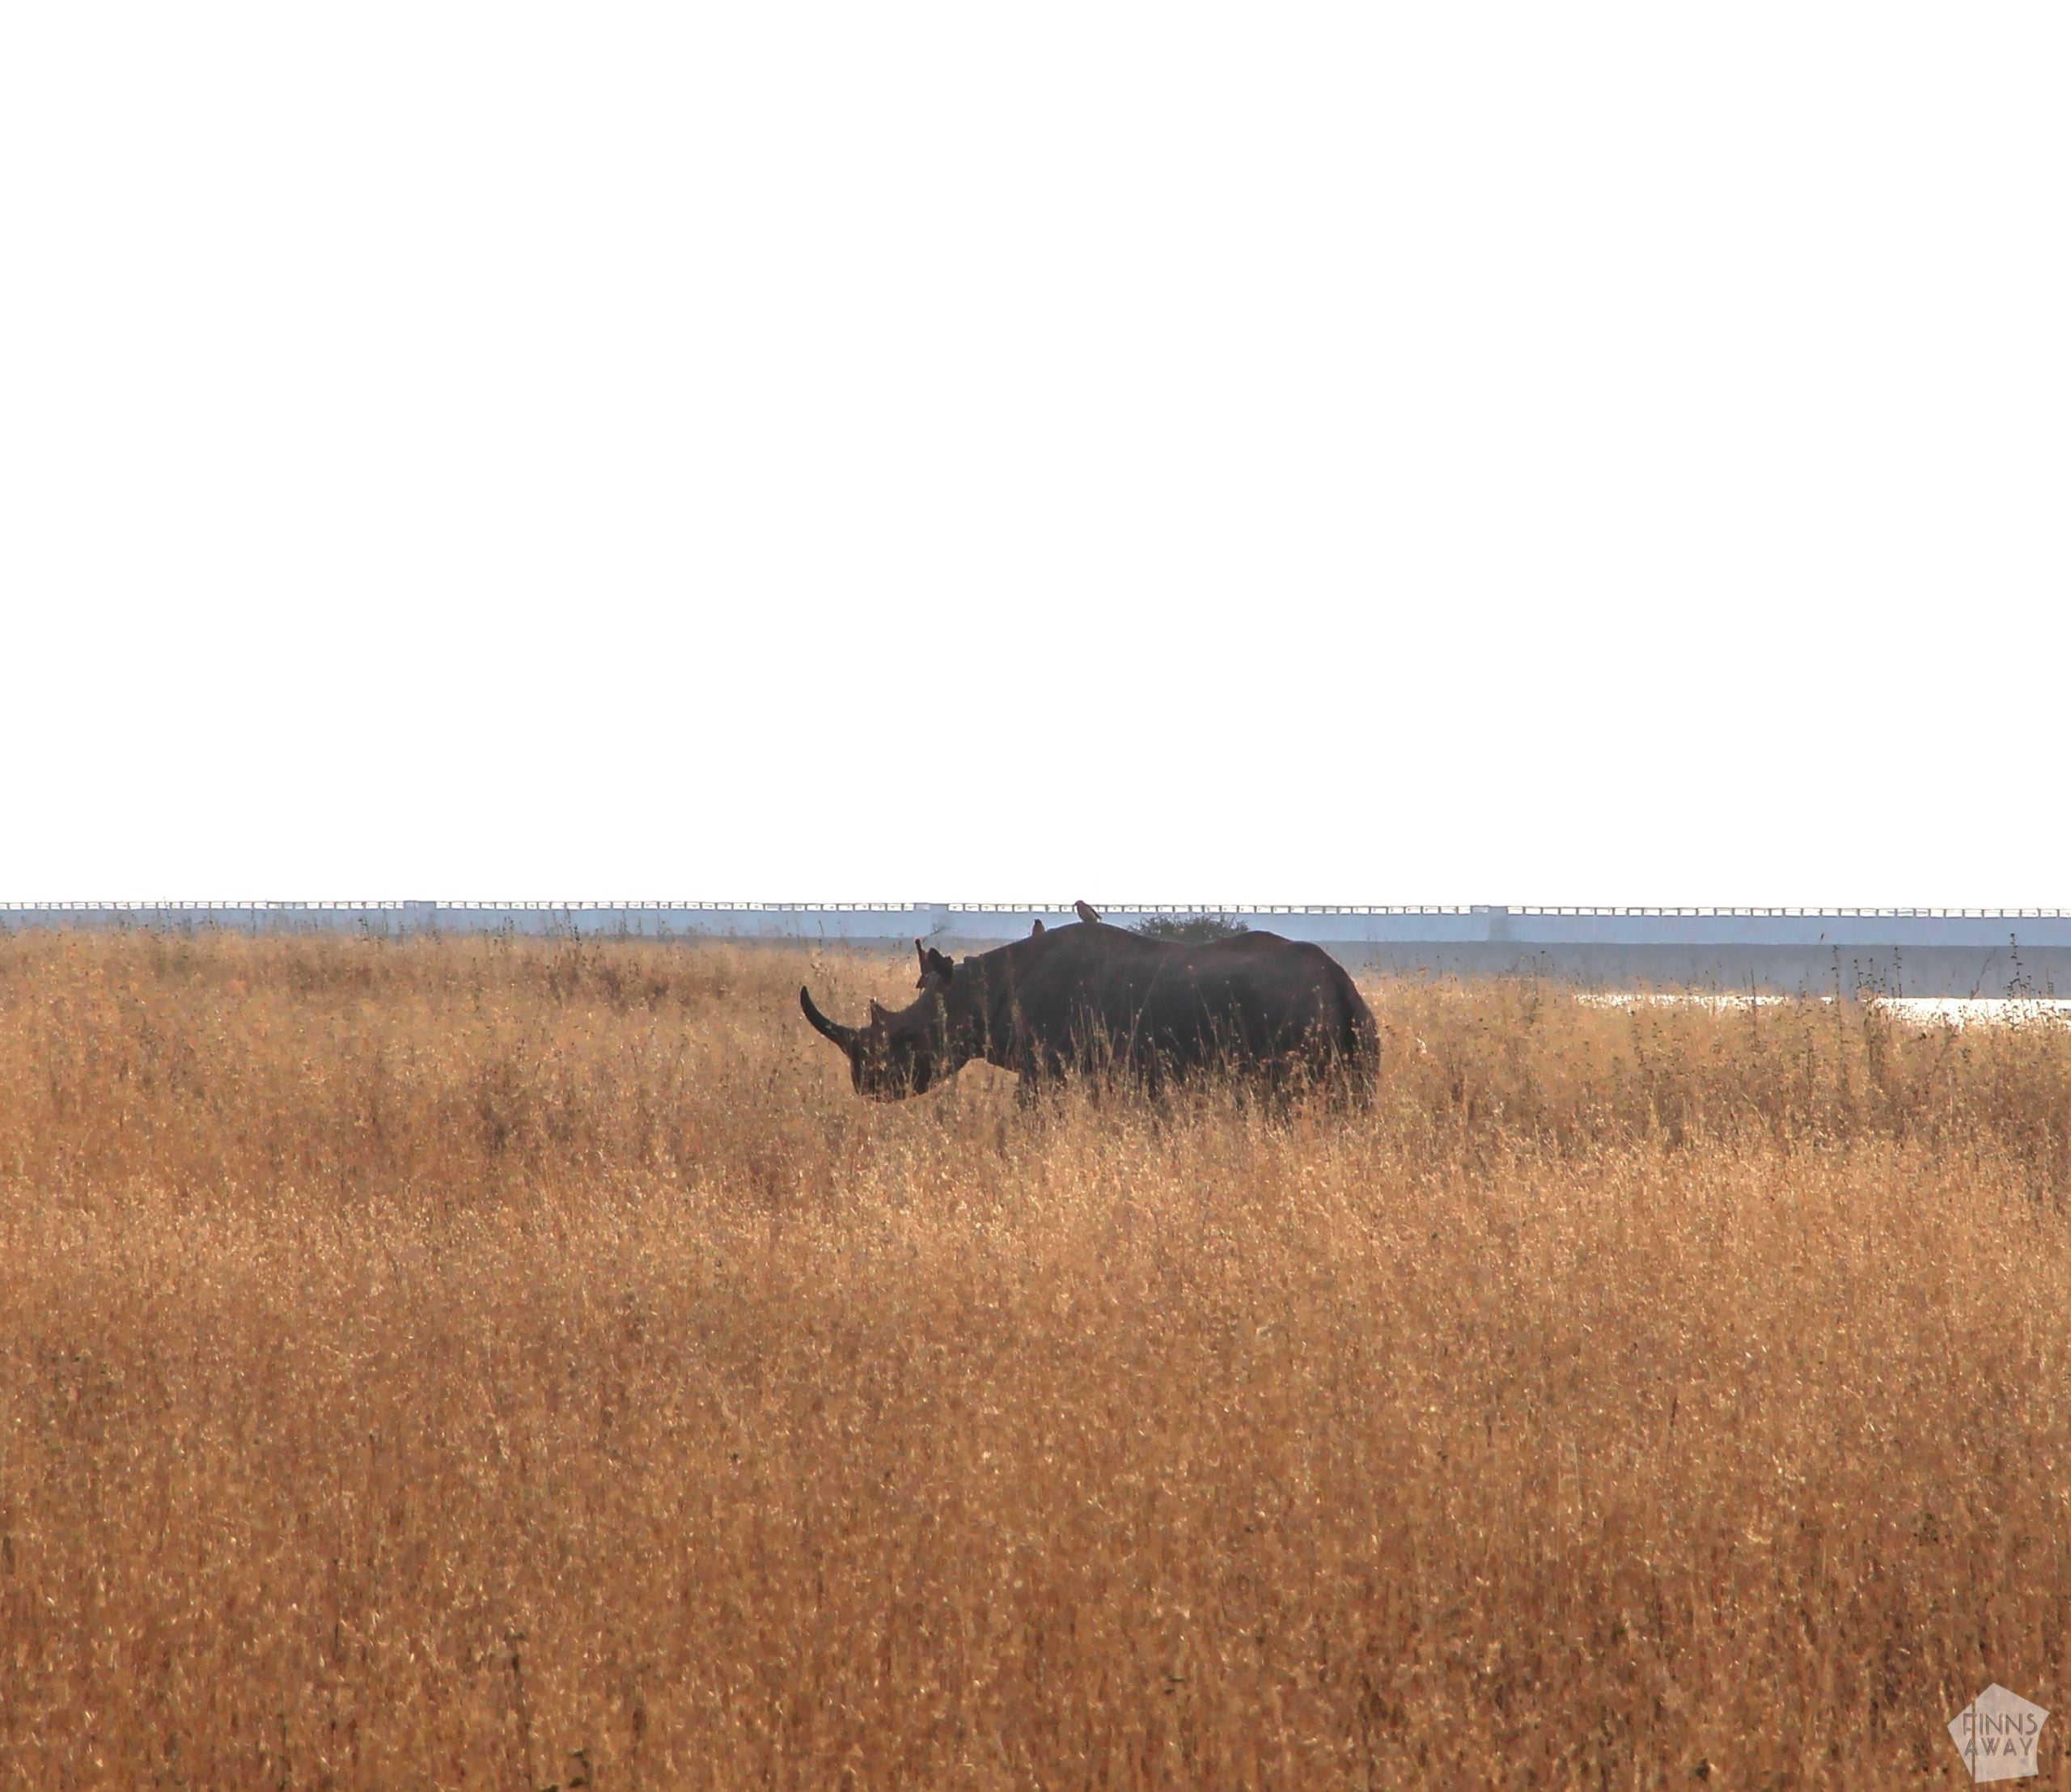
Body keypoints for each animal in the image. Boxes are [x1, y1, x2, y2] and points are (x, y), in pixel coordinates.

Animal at [799, 903, 1377, 1105]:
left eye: (909, 1039)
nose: (867, 1087)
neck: (974, 991)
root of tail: (1340, 980)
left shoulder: (1048, 1069)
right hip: (1353, 1022)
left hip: (1289, 1015)